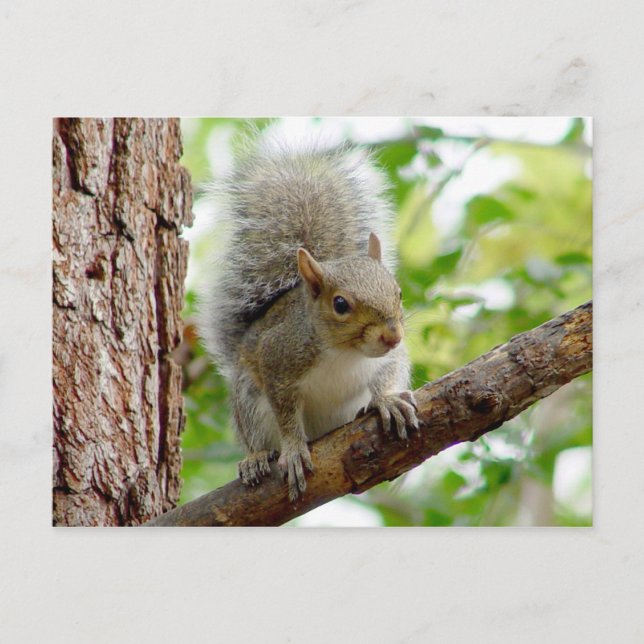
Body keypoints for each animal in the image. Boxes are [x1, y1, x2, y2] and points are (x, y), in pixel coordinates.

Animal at [200, 134, 419, 501]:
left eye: (398, 293)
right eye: (340, 304)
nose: (392, 336)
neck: (345, 353)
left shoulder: (389, 358)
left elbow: (390, 372)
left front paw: (388, 401)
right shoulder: (278, 358)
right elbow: (286, 414)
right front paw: (292, 449)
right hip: (248, 397)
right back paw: (256, 458)